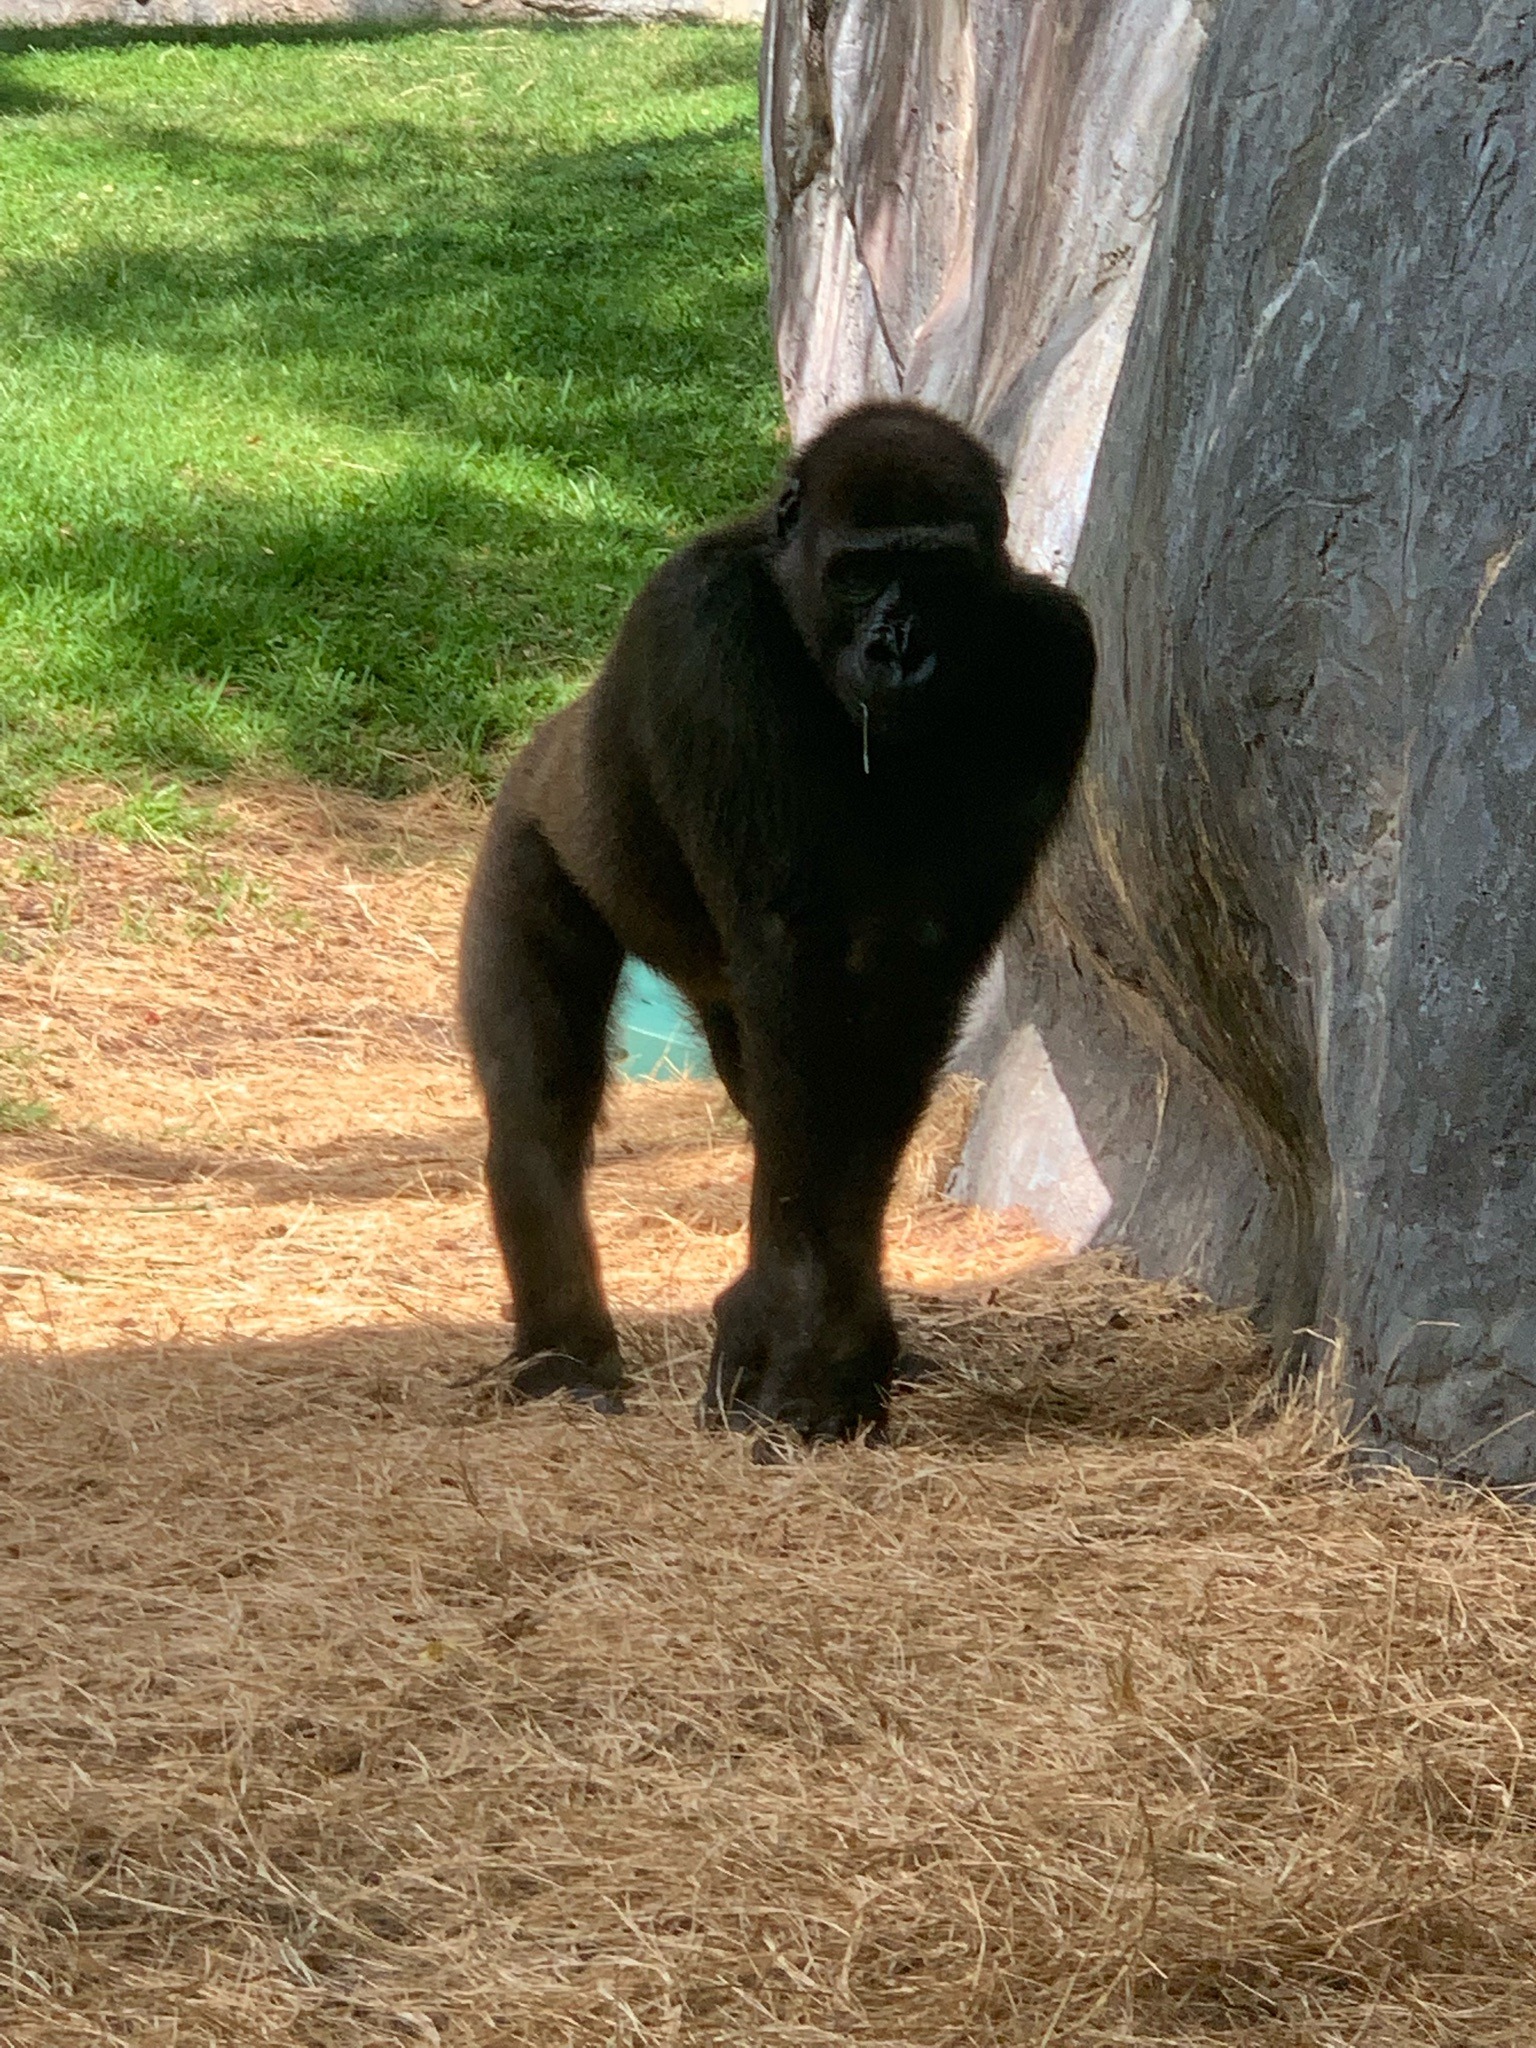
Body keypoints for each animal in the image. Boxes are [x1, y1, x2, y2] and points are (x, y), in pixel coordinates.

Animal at [459, 400, 1094, 1443]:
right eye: (861, 571)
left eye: (937, 574)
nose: (899, 646)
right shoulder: (703, 624)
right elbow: (807, 948)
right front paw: (803, 1320)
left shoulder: (1055, 654)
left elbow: (910, 970)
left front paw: (831, 1331)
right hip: (527, 830)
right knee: (536, 1107)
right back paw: (563, 1356)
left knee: (772, 1084)